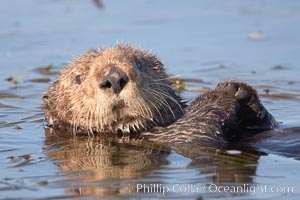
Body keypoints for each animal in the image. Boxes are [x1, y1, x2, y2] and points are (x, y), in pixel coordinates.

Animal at [43, 44, 278, 144]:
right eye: (78, 77)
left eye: (139, 63)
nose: (114, 78)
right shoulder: (177, 137)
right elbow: (193, 130)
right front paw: (223, 92)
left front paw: (241, 92)